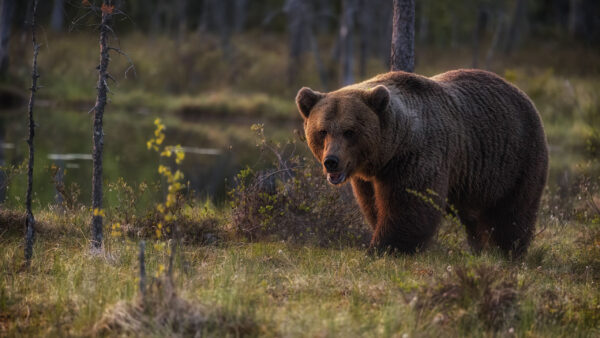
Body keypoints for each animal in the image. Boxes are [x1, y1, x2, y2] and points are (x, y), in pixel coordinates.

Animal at [296, 70, 548, 258]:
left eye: (350, 131)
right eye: (322, 131)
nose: (332, 162)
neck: (390, 151)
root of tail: (522, 94)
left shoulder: (418, 157)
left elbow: (408, 209)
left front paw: (381, 248)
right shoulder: (368, 178)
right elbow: (373, 205)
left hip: (516, 160)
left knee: (512, 213)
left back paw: (506, 252)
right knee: (477, 219)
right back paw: (481, 249)